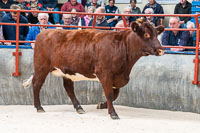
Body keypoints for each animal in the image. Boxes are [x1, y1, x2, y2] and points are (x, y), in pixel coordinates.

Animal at [32, 21, 165, 119]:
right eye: (147, 35)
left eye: (156, 34)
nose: (161, 50)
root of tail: (45, 32)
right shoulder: (104, 73)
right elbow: (110, 94)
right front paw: (113, 113)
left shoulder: (117, 76)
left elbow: (115, 94)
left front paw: (102, 105)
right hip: (41, 67)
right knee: (37, 84)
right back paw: (39, 107)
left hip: (67, 72)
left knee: (69, 88)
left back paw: (79, 107)